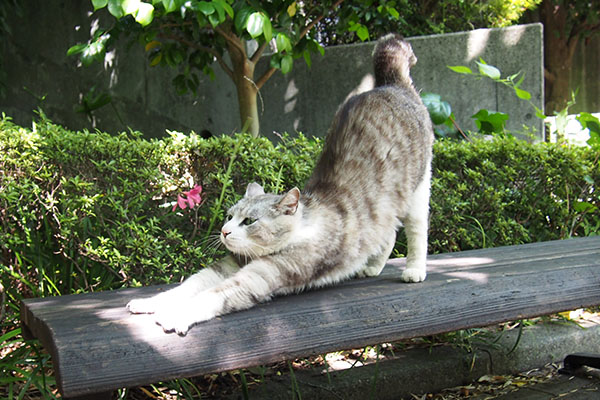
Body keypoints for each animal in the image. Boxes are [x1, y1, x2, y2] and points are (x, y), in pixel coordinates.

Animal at [129, 35, 434, 334]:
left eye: (250, 221)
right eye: (229, 216)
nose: (225, 231)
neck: (301, 228)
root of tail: (390, 83)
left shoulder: (261, 275)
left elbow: (214, 295)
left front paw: (175, 316)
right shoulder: (228, 265)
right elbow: (189, 285)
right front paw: (149, 302)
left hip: (418, 191)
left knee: (416, 232)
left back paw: (414, 271)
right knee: (388, 234)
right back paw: (371, 267)